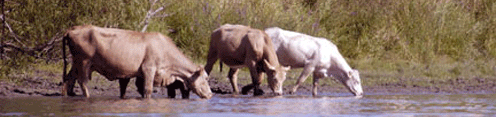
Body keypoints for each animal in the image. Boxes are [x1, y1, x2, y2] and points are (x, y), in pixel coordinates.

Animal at [61, 24, 212, 98]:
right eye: (205, 78)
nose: (211, 94)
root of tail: (72, 29)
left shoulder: (140, 75)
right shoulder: (148, 69)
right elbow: (148, 90)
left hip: (76, 62)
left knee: (68, 78)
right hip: (84, 62)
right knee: (82, 81)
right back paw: (87, 97)